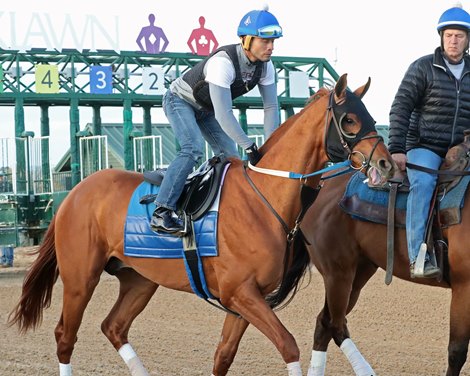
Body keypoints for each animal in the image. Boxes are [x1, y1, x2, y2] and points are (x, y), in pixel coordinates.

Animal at [8, 74, 396, 376]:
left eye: (369, 116)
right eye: (349, 120)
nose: (386, 164)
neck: (263, 197)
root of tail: (73, 193)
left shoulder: (246, 299)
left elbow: (223, 356)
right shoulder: (240, 293)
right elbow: (288, 345)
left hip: (139, 279)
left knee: (113, 327)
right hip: (80, 278)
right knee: (65, 336)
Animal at [300, 170, 470, 376]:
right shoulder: (464, 287)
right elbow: (457, 352)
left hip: (358, 275)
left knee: (325, 324)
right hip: (337, 275)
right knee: (334, 325)